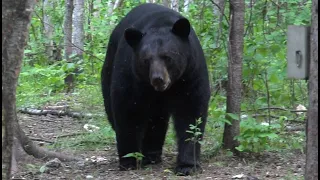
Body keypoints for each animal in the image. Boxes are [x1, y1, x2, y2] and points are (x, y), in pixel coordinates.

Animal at [100, 2, 210, 175]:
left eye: (168, 57)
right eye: (146, 60)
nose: (158, 79)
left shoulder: (190, 73)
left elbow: (191, 113)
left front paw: (187, 165)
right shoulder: (132, 76)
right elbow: (128, 110)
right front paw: (129, 160)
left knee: (157, 120)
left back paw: (152, 154)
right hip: (109, 68)